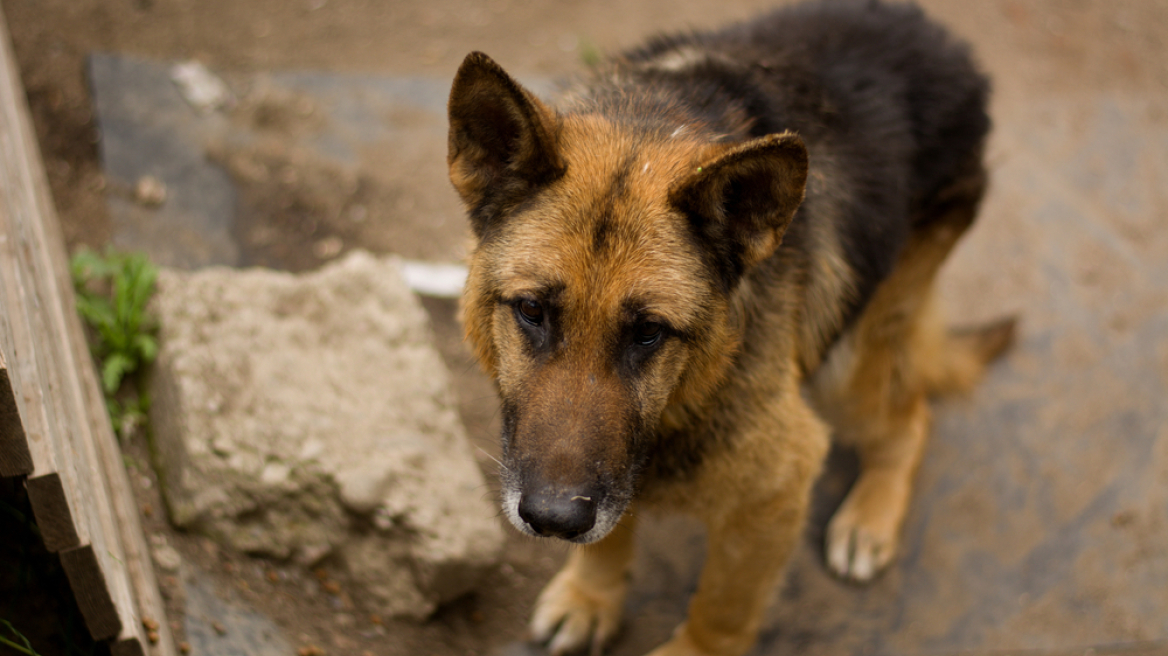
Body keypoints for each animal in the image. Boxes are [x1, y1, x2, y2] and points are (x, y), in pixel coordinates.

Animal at [446, 2, 1013, 648]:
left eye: (648, 332)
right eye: (532, 312)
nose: (554, 521)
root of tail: (941, 40)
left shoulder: (776, 487)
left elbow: (721, 609)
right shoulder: (618, 473)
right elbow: (610, 535)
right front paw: (592, 594)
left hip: (849, 363)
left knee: (910, 418)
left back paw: (870, 517)